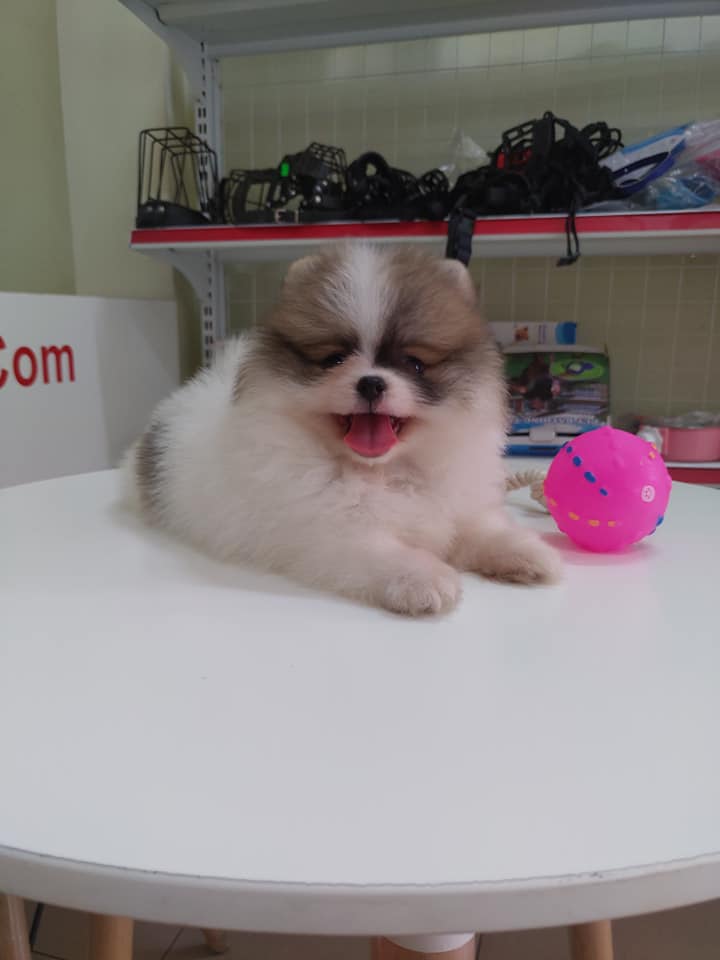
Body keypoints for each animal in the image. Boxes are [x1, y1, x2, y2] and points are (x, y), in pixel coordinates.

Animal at [124, 244, 560, 614]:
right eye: (333, 359)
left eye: (414, 364)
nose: (370, 382)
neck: (384, 470)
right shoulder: (326, 533)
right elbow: (380, 551)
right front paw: (422, 576)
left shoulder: (456, 503)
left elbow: (479, 529)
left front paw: (522, 551)